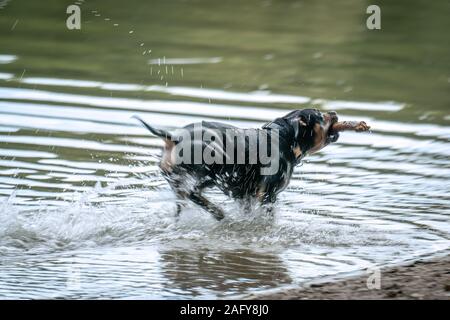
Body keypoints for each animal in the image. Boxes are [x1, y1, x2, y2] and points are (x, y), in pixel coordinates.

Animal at [134, 108, 366, 220]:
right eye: (320, 115)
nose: (334, 113)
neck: (284, 138)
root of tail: (173, 137)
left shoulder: (245, 196)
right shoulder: (268, 195)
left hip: (181, 181)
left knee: (185, 199)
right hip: (211, 169)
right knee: (194, 193)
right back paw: (219, 213)